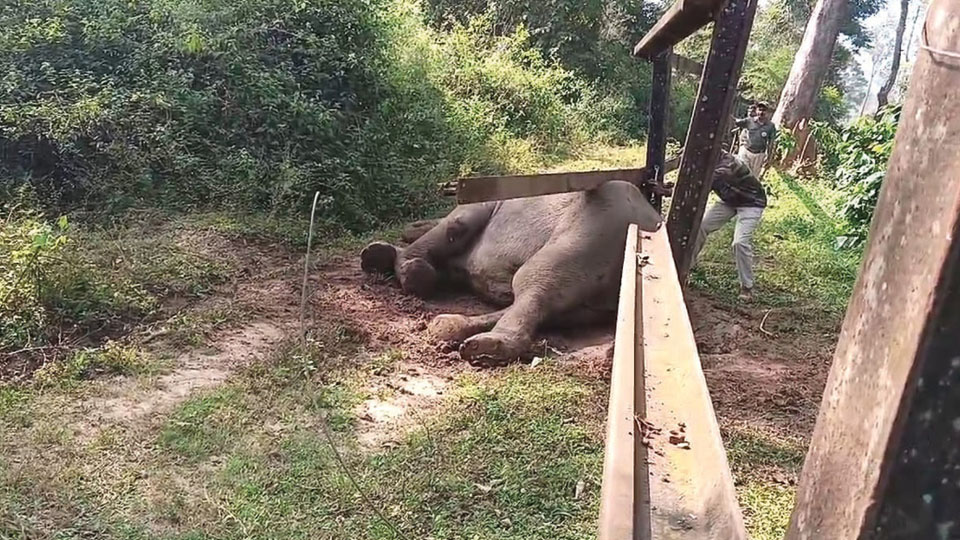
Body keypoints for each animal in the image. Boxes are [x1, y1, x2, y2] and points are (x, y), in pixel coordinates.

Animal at [356, 179, 664, 364]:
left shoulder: (480, 205)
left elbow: (455, 225)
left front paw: (405, 270)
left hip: (589, 231)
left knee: (534, 283)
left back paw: (483, 347)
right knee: (552, 308)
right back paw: (448, 329)